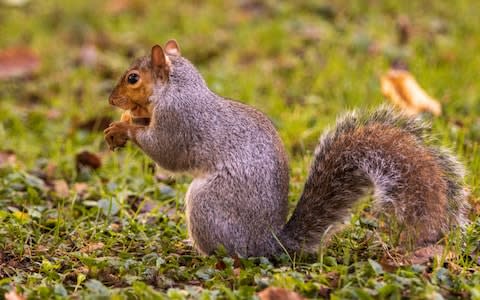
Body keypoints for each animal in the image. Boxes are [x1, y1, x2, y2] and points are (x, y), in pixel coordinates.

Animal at [105, 38, 468, 256]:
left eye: (133, 78)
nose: (111, 100)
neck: (178, 89)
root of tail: (268, 243)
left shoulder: (179, 122)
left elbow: (165, 152)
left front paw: (124, 126)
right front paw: (125, 120)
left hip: (208, 204)